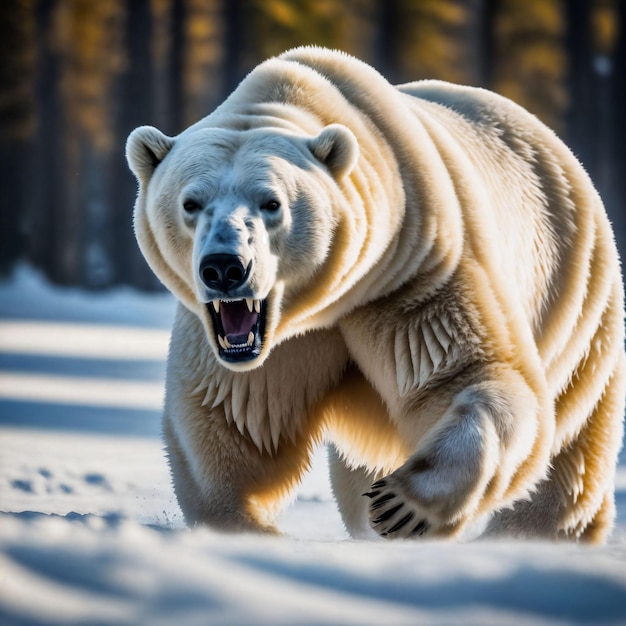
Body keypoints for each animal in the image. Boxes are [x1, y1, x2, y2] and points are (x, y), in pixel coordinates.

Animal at [124, 46, 620, 540]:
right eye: (190, 203)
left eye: (272, 203)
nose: (225, 267)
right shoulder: (259, 344)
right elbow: (236, 419)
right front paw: (244, 525)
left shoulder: (414, 276)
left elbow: (468, 376)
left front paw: (401, 506)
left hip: (576, 298)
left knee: (571, 444)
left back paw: (539, 533)